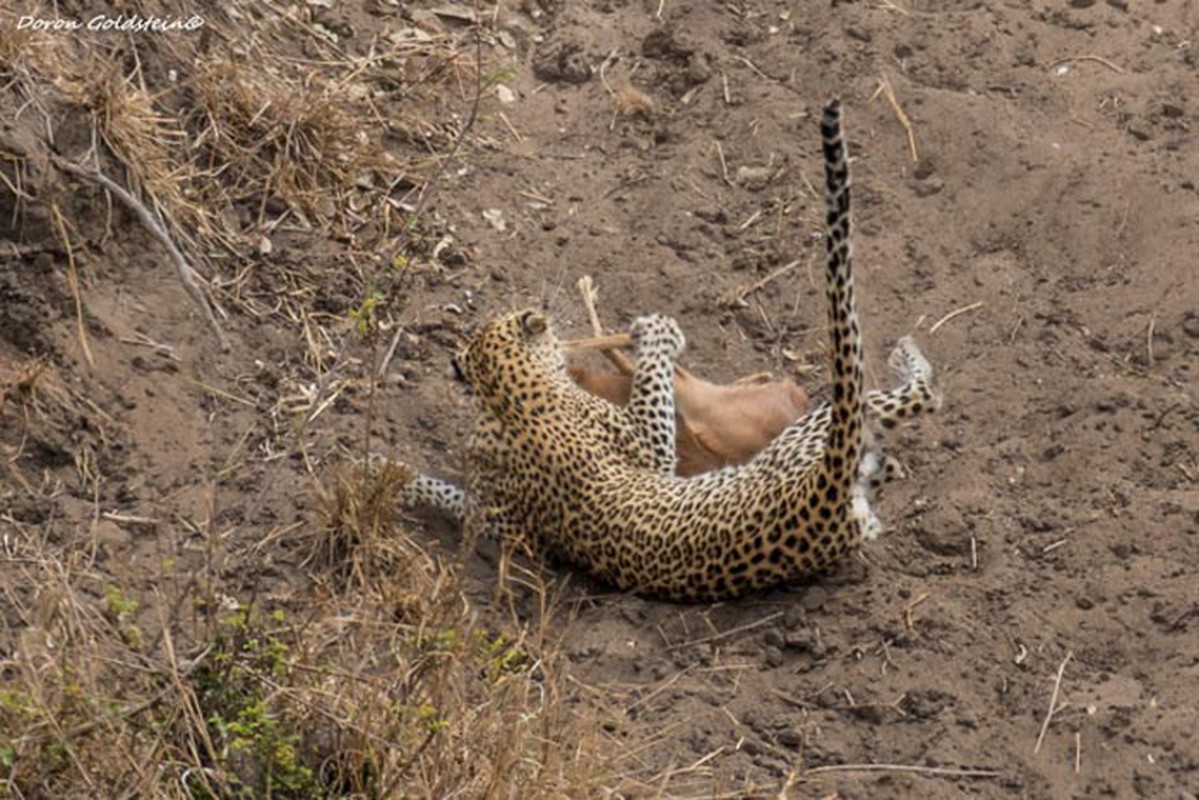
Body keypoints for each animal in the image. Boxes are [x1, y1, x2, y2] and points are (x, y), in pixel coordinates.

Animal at [398, 100, 940, 599]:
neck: (513, 399)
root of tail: (824, 500)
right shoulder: (638, 450)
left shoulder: (509, 511)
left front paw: (396, 477)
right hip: (805, 433)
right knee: (919, 399)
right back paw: (904, 363)